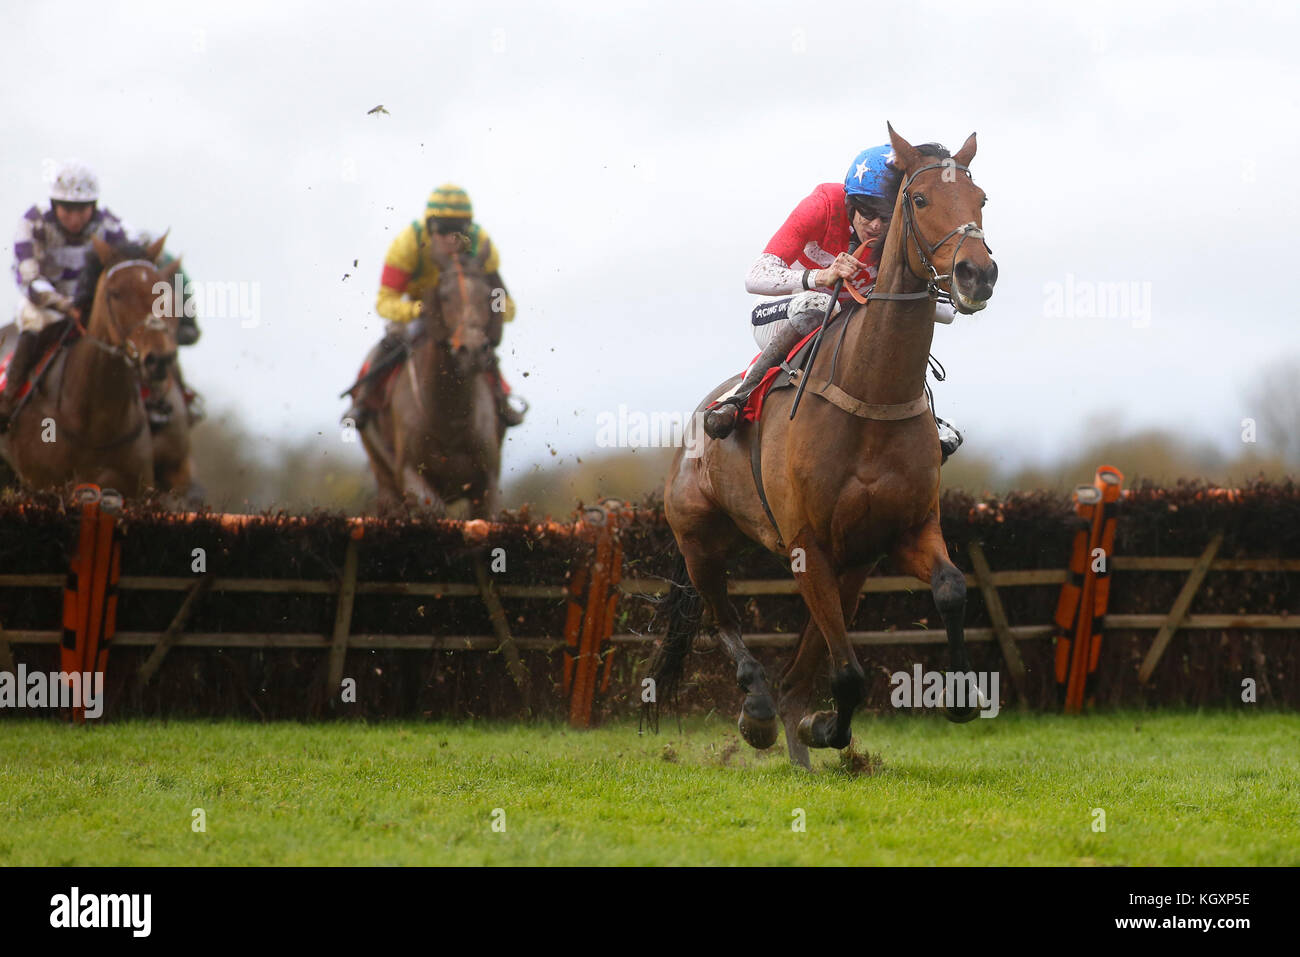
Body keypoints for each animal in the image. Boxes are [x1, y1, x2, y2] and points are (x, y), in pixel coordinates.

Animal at [366, 243, 506, 520]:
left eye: (489, 295)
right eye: (445, 296)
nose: (472, 350)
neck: (449, 419)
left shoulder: (488, 483)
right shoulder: (409, 475)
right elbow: (433, 510)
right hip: (383, 475)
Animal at [655, 125, 998, 769]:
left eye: (981, 199)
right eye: (919, 201)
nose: (976, 274)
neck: (870, 392)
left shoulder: (901, 532)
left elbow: (950, 588)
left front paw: (961, 698)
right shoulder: (806, 544)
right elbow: (847, 675)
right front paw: (819, 726)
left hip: (848, 567)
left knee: (801, 665)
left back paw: (795, 734)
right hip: (699, 540)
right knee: (721, 613)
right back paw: (760, 711)